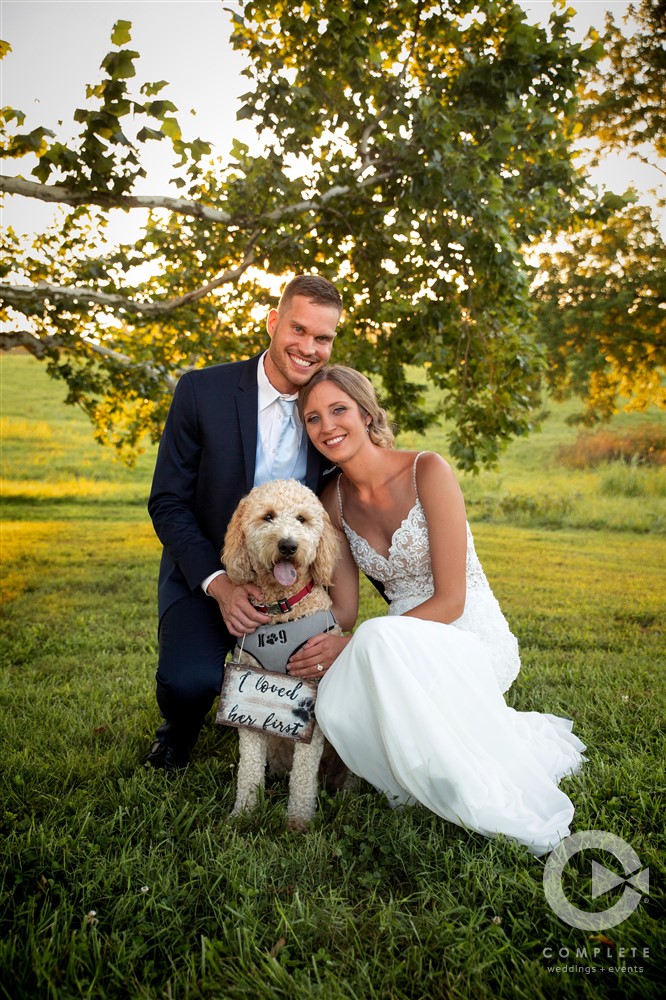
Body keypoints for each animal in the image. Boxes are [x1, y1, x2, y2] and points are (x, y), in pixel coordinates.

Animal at [222, 480, 340, 832]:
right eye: (268, 516)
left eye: (302, 519)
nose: (288, 545)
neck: (281, 607)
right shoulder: (245, 706)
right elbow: (248, 767)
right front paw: (243, 813)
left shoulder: (310, 704)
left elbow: (303, 774)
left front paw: (298, 819)